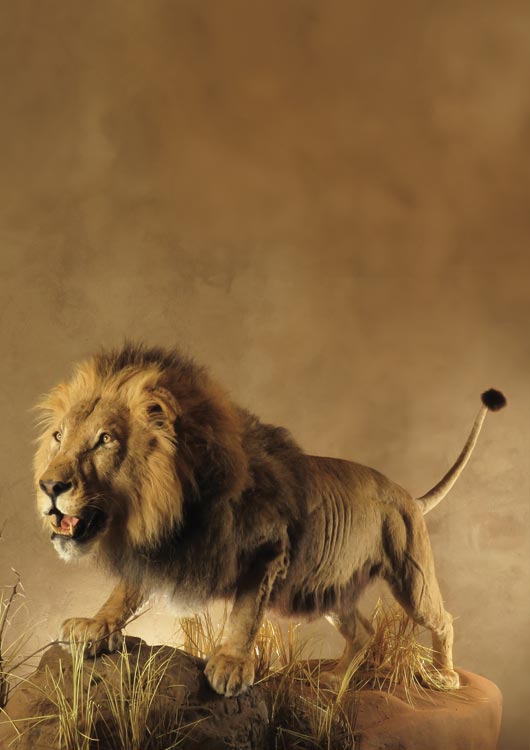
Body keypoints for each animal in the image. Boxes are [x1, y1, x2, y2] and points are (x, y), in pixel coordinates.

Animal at [34, 343, 506, 696]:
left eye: (104, 440)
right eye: (59, 436)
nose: (48, 485)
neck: (178, 504)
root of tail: (406, 493)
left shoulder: (268, 551)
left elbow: (244, 613)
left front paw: (230, 664)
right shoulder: (163, 552)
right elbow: (124, 592)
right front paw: (95, 626)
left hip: (412, 575)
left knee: (441, 619)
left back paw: (444, 677)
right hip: (333, 591)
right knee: (364, 631)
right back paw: (335, 679)